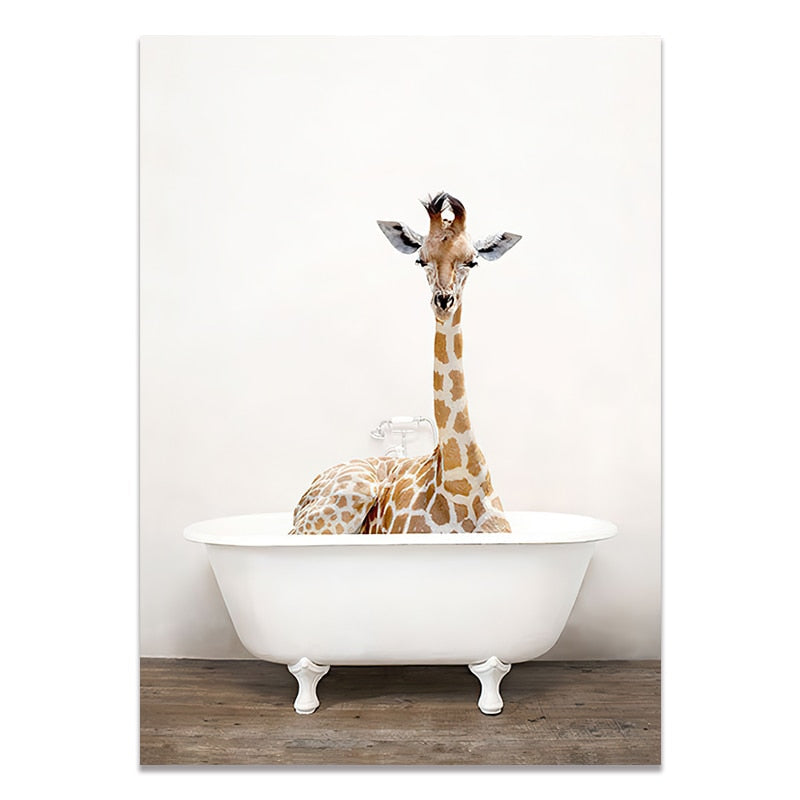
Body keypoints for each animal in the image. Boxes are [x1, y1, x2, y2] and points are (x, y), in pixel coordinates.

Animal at [291, 192, 521, 534]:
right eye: (420, 259)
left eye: (472, 261)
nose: (443, 301)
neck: (461, 481)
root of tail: (302, 498)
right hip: (346, 496)